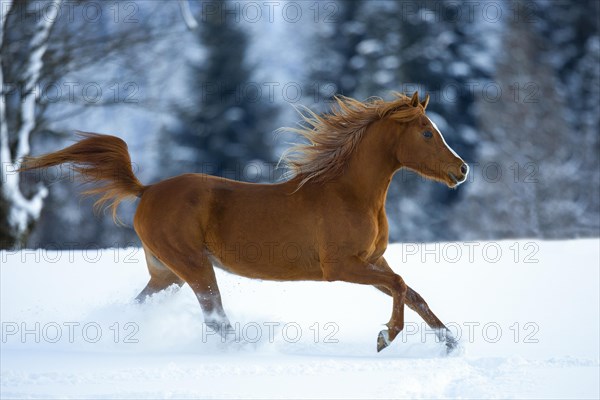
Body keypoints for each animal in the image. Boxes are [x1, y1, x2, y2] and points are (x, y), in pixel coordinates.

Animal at [22, 92, 468, 352]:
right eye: (427, 133)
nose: (462, 170)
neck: (350, 193)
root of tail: (145, 190)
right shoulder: (340, 267)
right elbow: (401, 286)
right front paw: (384, 337)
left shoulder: (373, 261)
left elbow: (412, 292)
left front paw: (451, 342)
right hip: (194, 266)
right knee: (215, 318)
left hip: (166, 273)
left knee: (146, 305)